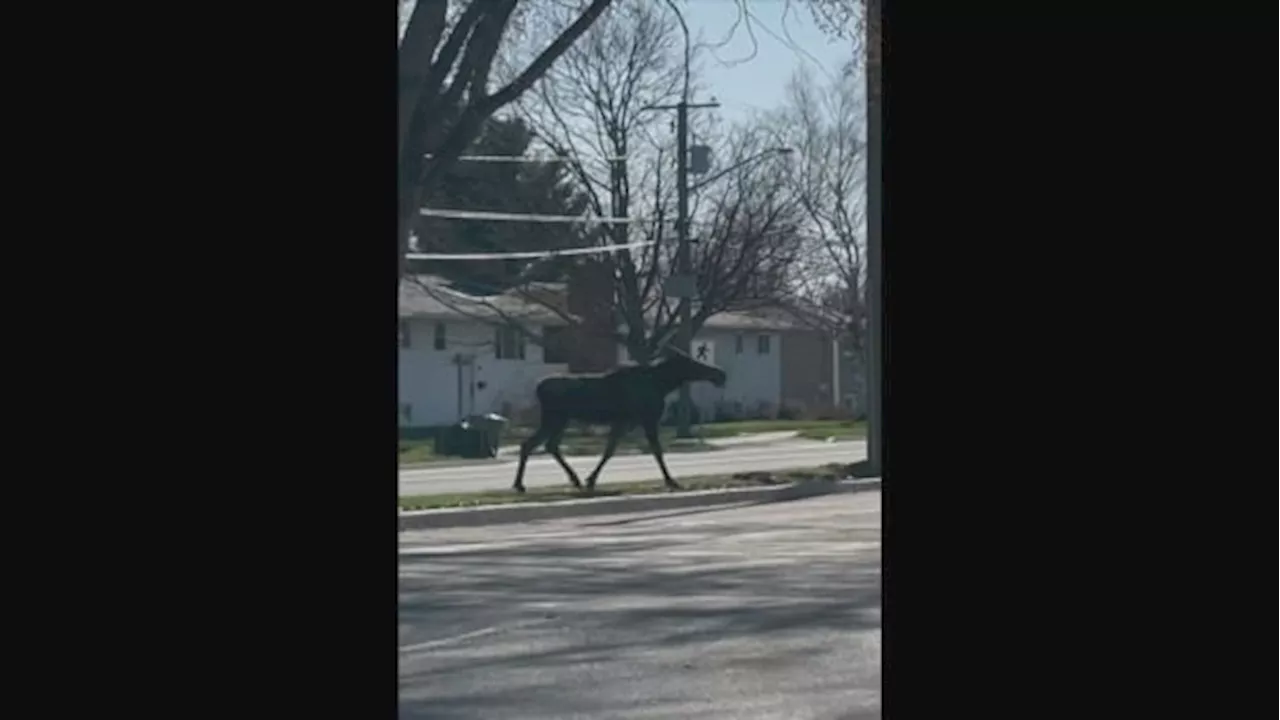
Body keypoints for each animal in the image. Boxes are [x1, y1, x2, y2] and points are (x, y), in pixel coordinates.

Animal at [512, 345, 732, 491]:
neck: (662, 384)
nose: (720, 374)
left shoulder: (624, 421)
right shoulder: (647, 419)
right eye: (689, 362)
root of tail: (538, 387)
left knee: (546, 445)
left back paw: (570, 479)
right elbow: (656, 451)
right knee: (532, 444)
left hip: (560, 420)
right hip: (555, 418)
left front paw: (591, 479)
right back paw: (520, 484)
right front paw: (671, 481)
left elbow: (610, 450)